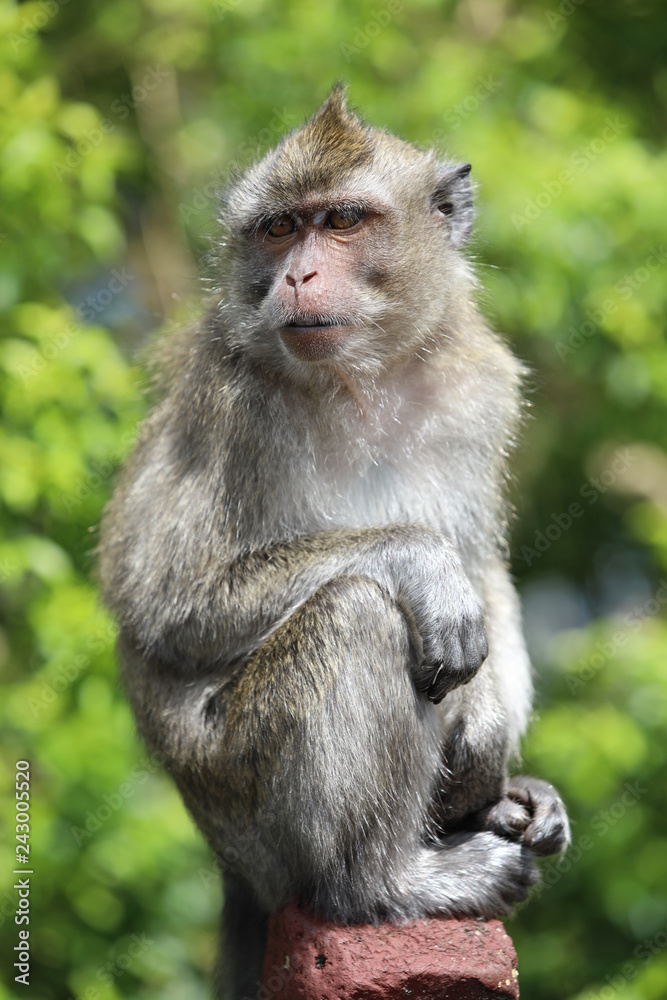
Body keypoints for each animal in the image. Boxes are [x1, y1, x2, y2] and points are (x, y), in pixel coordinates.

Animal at [99, 88, 568, 1000]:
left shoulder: (480, 385)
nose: (298, 275)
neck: (362, 375)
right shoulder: (231, 403)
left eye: (343, 220)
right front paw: (420, 560)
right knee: (354, 613)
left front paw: (490, 729)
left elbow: (485, 568)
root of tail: (233, 871)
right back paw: (383, 882)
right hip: (247, 808)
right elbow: (168, 604)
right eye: (281, 229)